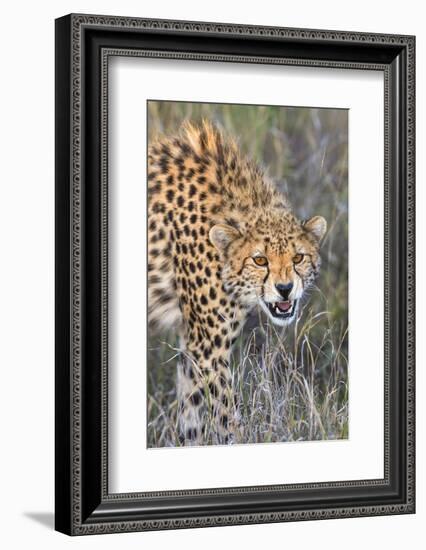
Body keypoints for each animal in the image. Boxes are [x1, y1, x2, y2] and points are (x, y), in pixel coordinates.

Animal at [147, 122, 326, 448]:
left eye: (298, 257)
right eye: (260, 260)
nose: (284, 289)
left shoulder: (193, 343)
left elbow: (192, 413)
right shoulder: (208, 346)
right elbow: (225, 415)